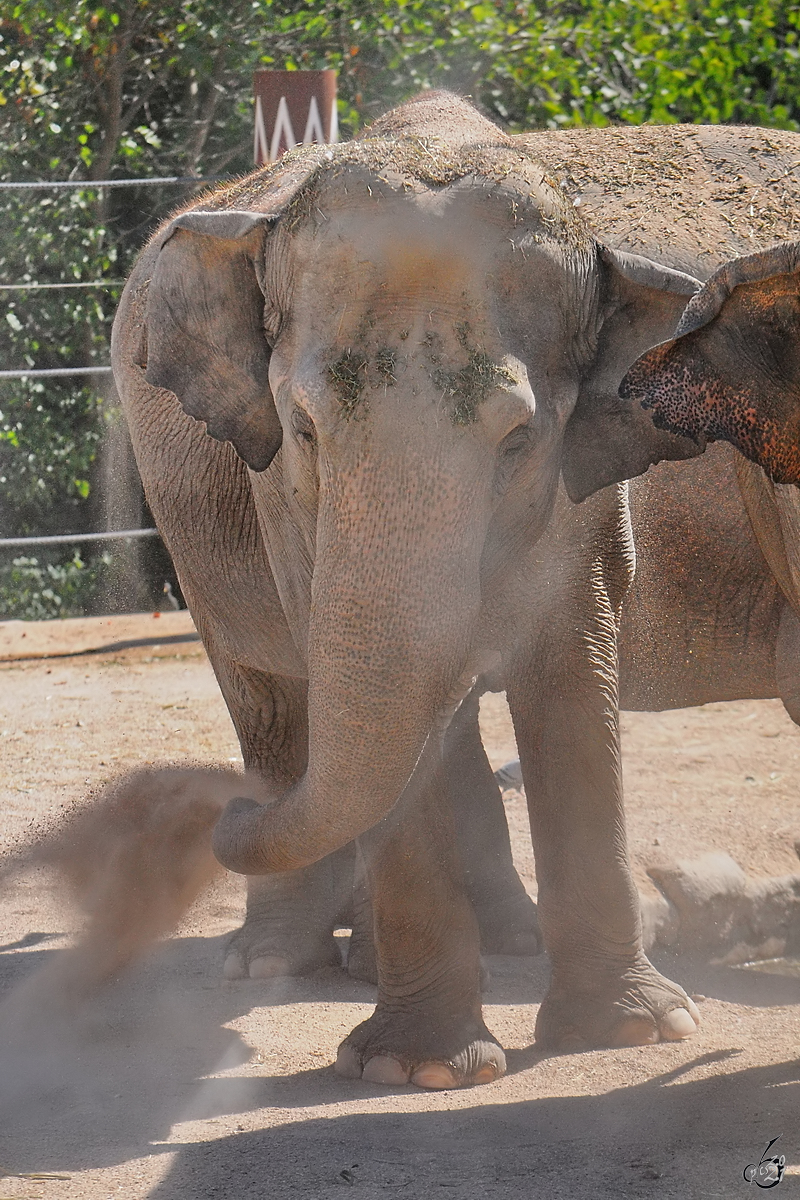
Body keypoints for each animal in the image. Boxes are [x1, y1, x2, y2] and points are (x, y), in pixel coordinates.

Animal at [110, 93, 705, 1089]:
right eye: (304, 429)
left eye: (519, 441)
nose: (228, 808)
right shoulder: (282, 495)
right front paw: (416, 1071)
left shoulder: (585, 480)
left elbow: (573, 666)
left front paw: (634, 1032)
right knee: (275, 702)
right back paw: (274, 962)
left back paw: (486, 942)